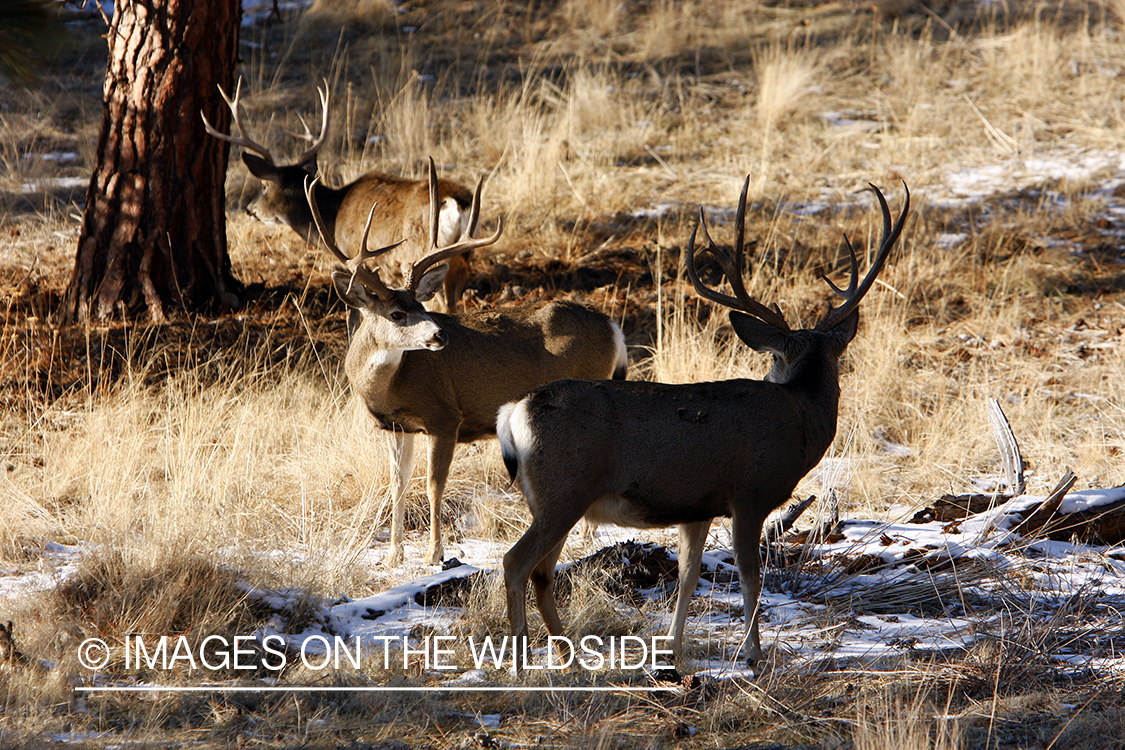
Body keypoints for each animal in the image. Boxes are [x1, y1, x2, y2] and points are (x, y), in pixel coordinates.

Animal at [202, 79, 478, 313]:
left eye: (264, 186)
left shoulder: (359, 258)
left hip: (419, 253)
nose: (249, 209)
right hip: (460, 258)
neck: (334, 217)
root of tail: (457, 202)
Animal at [305, 159, 628, 566]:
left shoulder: (445, 417)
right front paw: (393, 555)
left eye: (422, 305)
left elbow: (432, 484)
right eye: (397, 313)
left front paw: (434, 554)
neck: (390, 384)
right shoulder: (396, 427)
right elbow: (397, 484)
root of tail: (613, 327)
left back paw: (586, 537)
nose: (439, 335)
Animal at [497, 178, 909, 671]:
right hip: (565, 488)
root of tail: (514, 410)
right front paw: (753, 654)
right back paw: (523, 661)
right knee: (516, 562)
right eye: (774, 358)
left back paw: (570, 659)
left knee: (541, 571)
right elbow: (750, 576)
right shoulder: (749, 493)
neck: (800, 417)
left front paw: (674, 650)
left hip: (555, 497)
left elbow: (689, 575)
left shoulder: (697, 506)